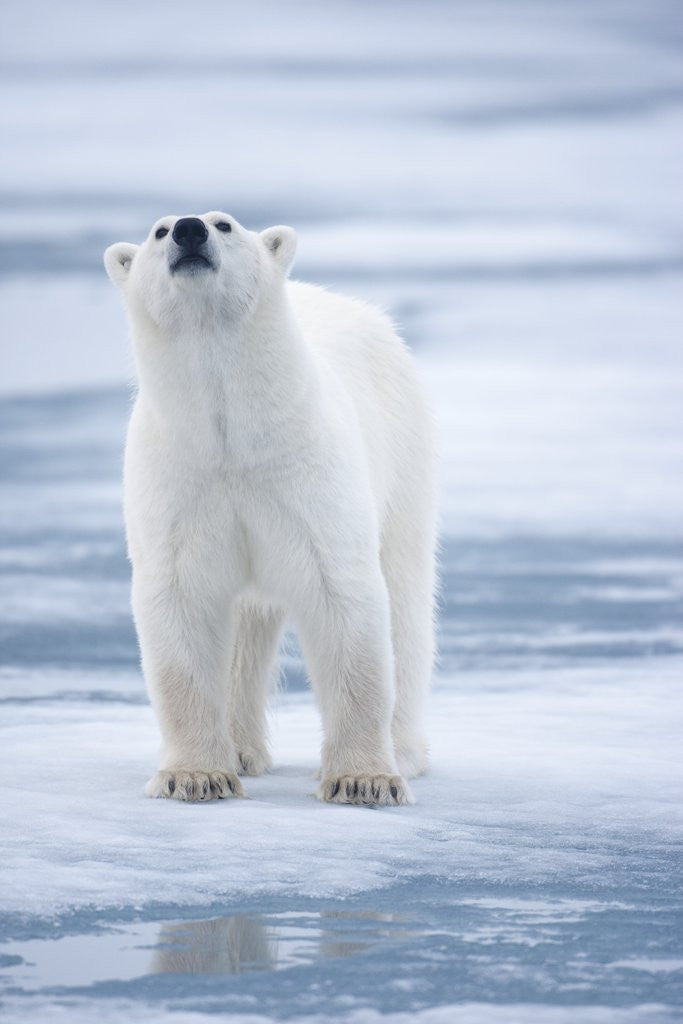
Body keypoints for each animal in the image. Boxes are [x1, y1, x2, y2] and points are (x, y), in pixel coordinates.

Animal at [104, 212, 437, 806]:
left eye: (224, 224)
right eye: (159, 231)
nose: (189, 230)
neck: (234, 437)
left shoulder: (307, 474)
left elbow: (345, 600)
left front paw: (364, 780)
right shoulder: (181, 480)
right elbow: (181, 604)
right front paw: (195, 776)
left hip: (404, 458)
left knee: (406, 603)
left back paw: (403, 751)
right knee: (242, 627)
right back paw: (239, 750)